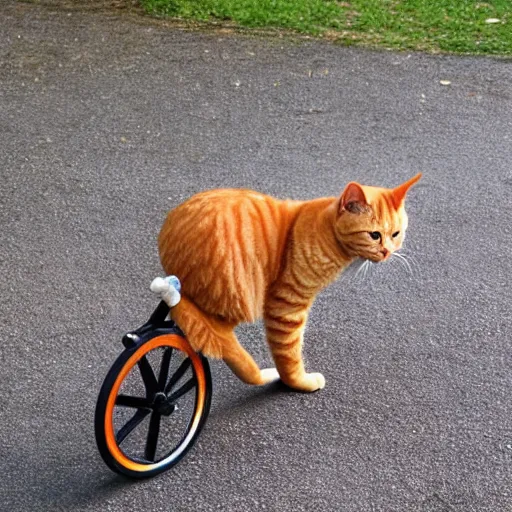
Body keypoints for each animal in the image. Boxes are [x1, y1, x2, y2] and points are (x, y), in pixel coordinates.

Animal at [159, 175, 420, 392]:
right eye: (374, 235)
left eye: (396, 234)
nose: (387, 252)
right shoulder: (286, 306)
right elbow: (290, 354)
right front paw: (299, 383)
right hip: (238, 295)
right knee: (224, 343)